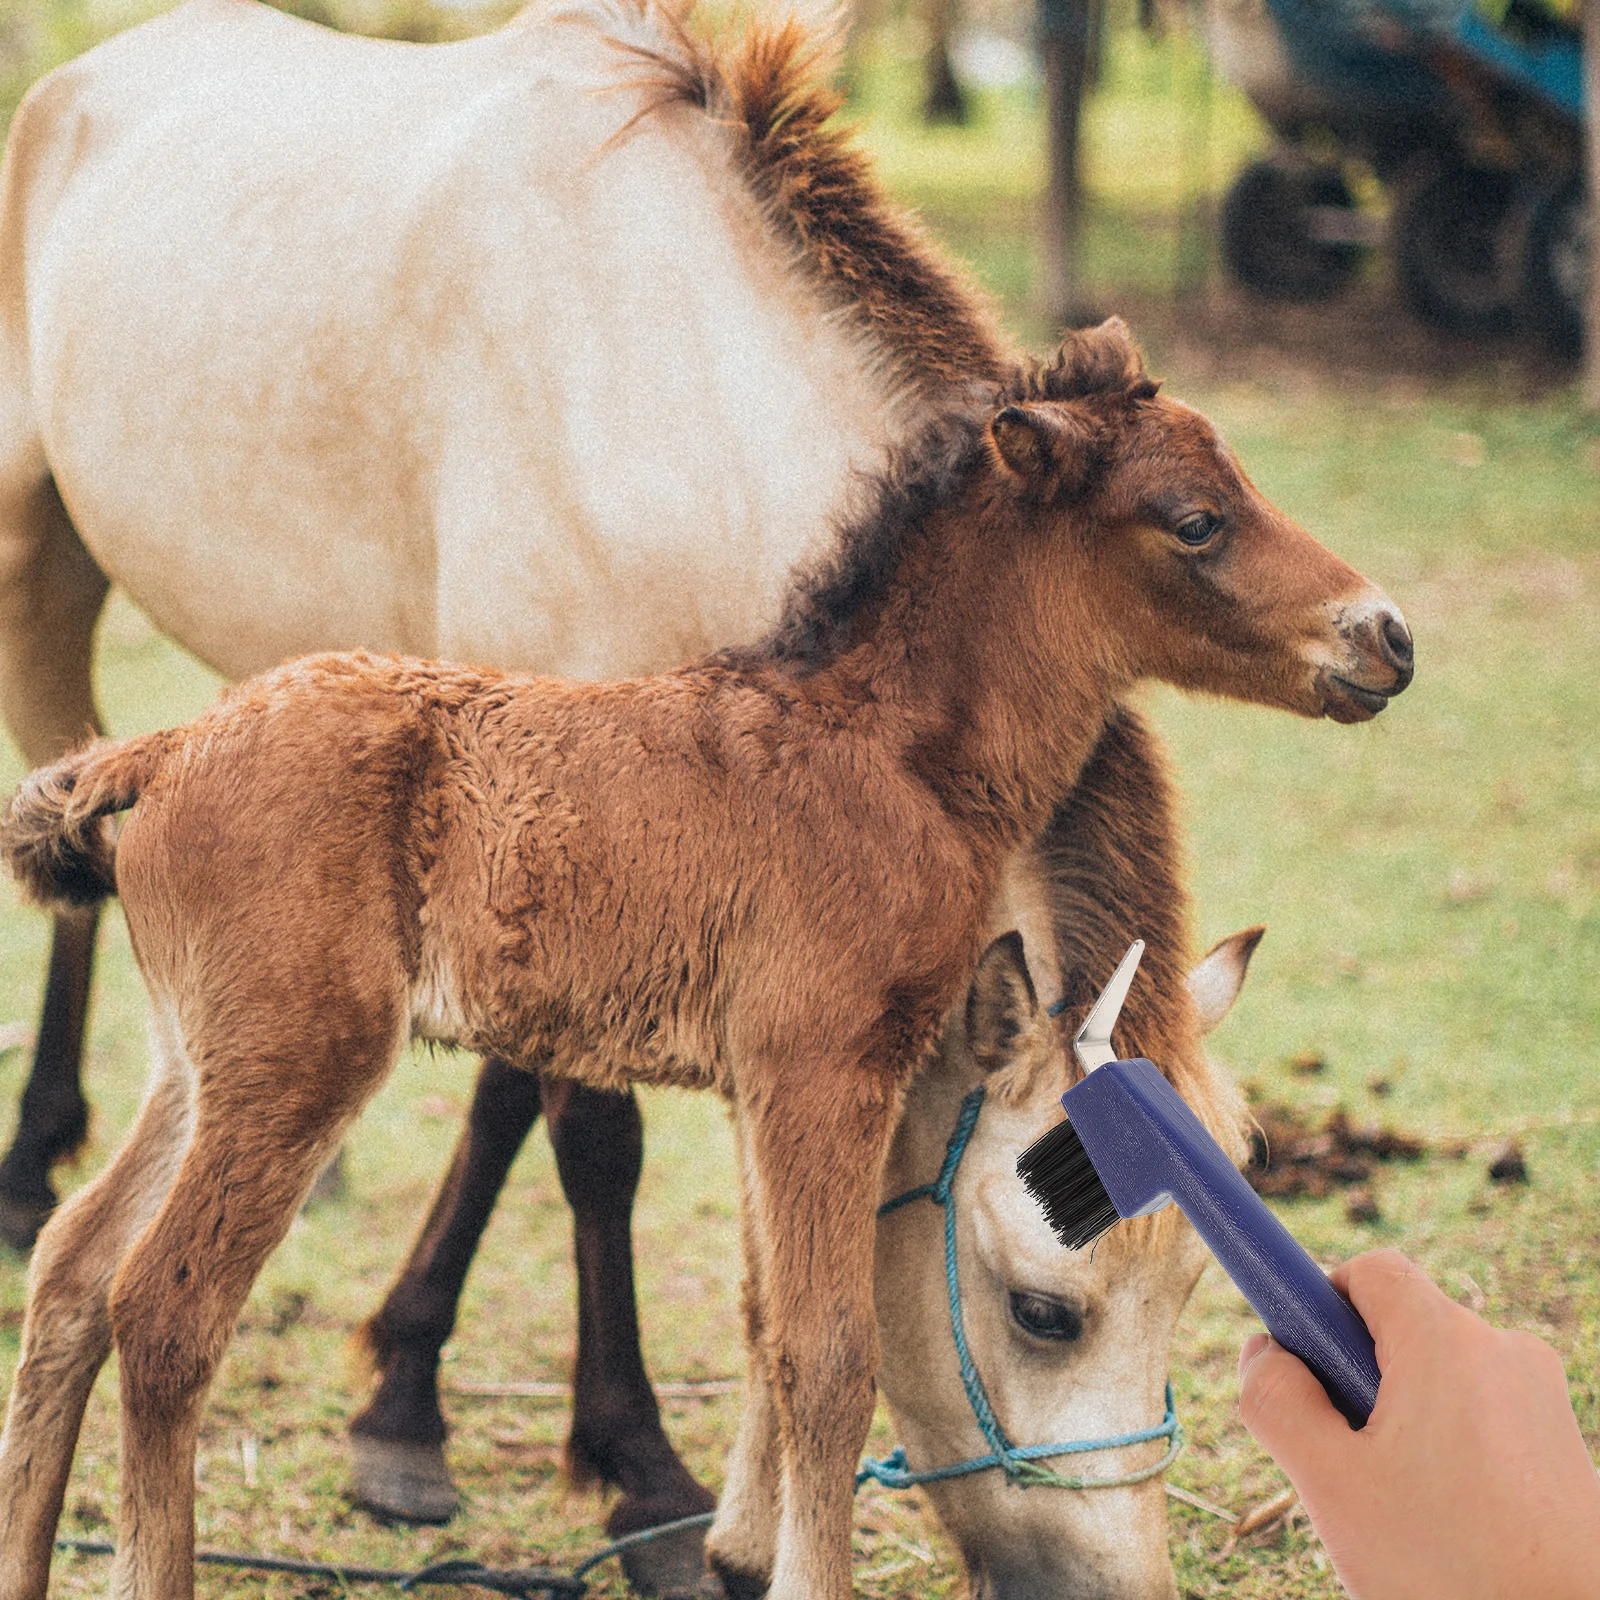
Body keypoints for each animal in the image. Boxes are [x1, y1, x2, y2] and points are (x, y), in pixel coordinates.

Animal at [0, 1, 1411, 1591]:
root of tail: (172, 751)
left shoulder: (768, 1074)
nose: (1381, 635)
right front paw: (666, 1499)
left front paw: (727, 1533)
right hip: (234, 941)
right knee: (164, 1307)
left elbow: (760, 1304)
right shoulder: (815, 1061)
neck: (877, 737)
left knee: (75, 1272)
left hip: (203, 1059)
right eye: (1195, 521)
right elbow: (813, 1340)